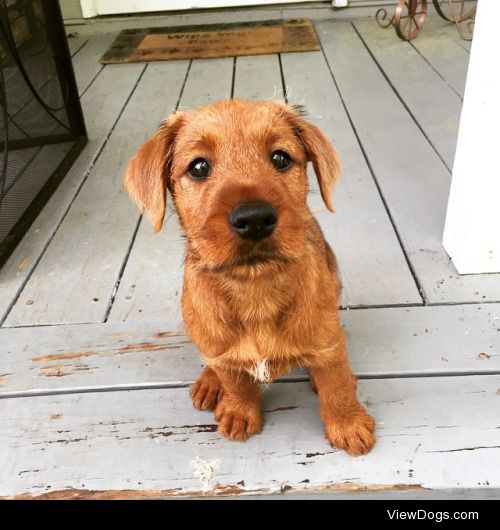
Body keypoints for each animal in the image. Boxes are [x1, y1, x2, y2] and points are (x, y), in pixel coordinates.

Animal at [124, 99, 376, 454]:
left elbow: (336, 385)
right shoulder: (224, 354)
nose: (254, 218)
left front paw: (348, 424)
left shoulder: (328, 344)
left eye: (280, 158)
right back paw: (209, 381)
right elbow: (236, 383)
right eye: (198, 167)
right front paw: (240, 411)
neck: (256, 290)